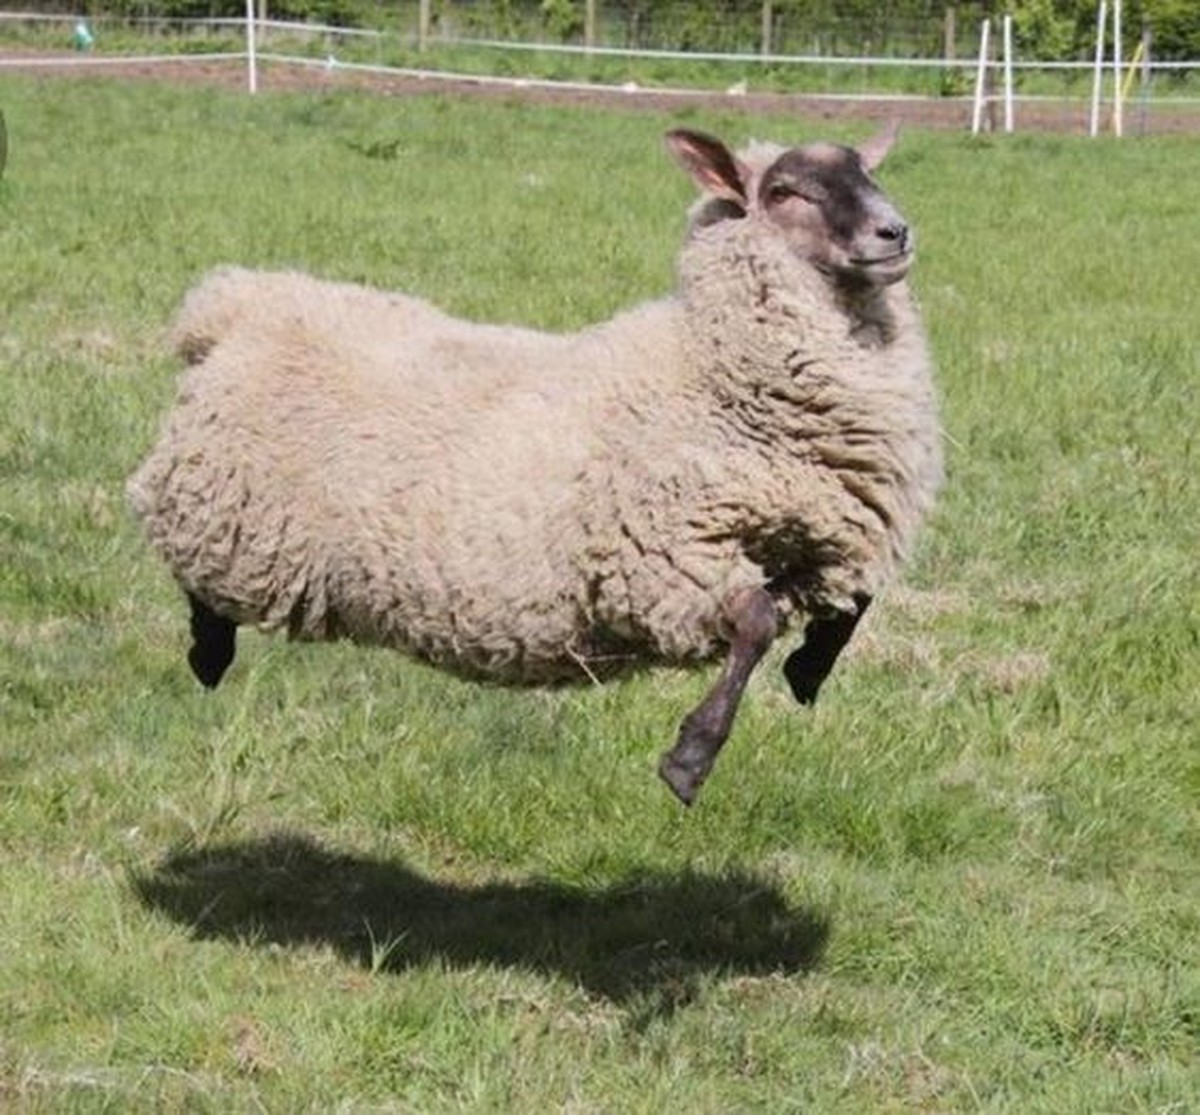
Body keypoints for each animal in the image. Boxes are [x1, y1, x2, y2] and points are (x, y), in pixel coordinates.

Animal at [128, 124, 942, 806]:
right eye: (785, 193)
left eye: (868, 171)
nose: (896, 232)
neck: (705, 371)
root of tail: (233, 305)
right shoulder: (662, 559)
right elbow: (756, 621)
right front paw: (691, 758)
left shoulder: (825, 524)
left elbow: (852, 601)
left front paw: (809, 672)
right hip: (227, 510)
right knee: (193, 576)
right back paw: (207, 656)